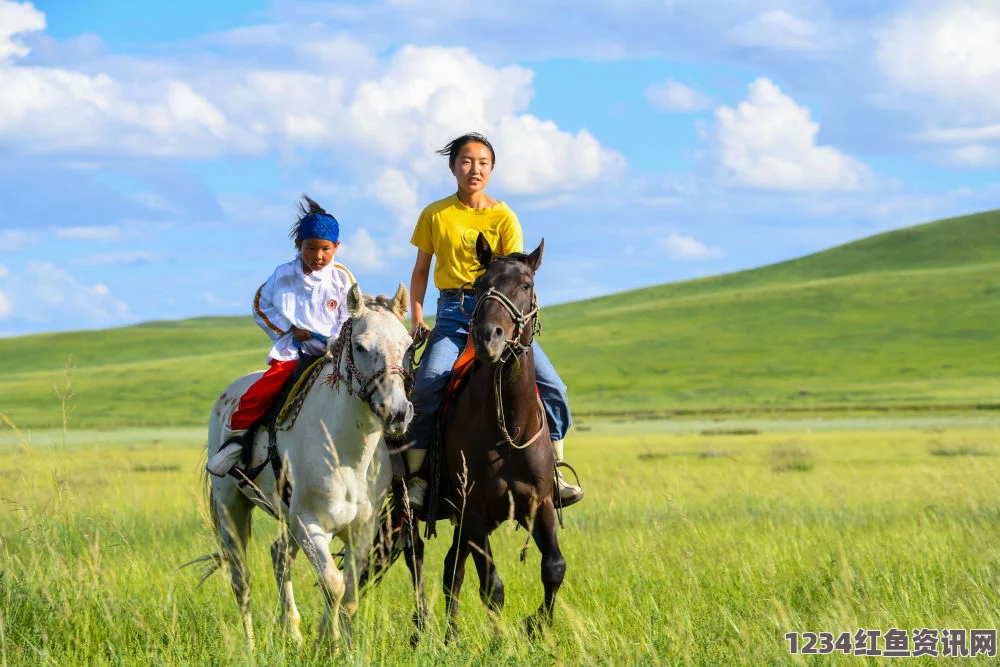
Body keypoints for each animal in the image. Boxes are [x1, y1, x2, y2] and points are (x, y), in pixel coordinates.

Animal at [201, 284, 412, 648]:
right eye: (360, 346)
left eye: (408, 345)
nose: (396, 412)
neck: (345, 455)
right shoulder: (310, 524)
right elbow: (333, 584)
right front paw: (330, 646)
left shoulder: (361, 530)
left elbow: (349, 593)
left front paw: (338, 647)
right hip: (233, 507)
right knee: (242, 579)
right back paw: (251, 645)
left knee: (279, 556)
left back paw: (294, 633)